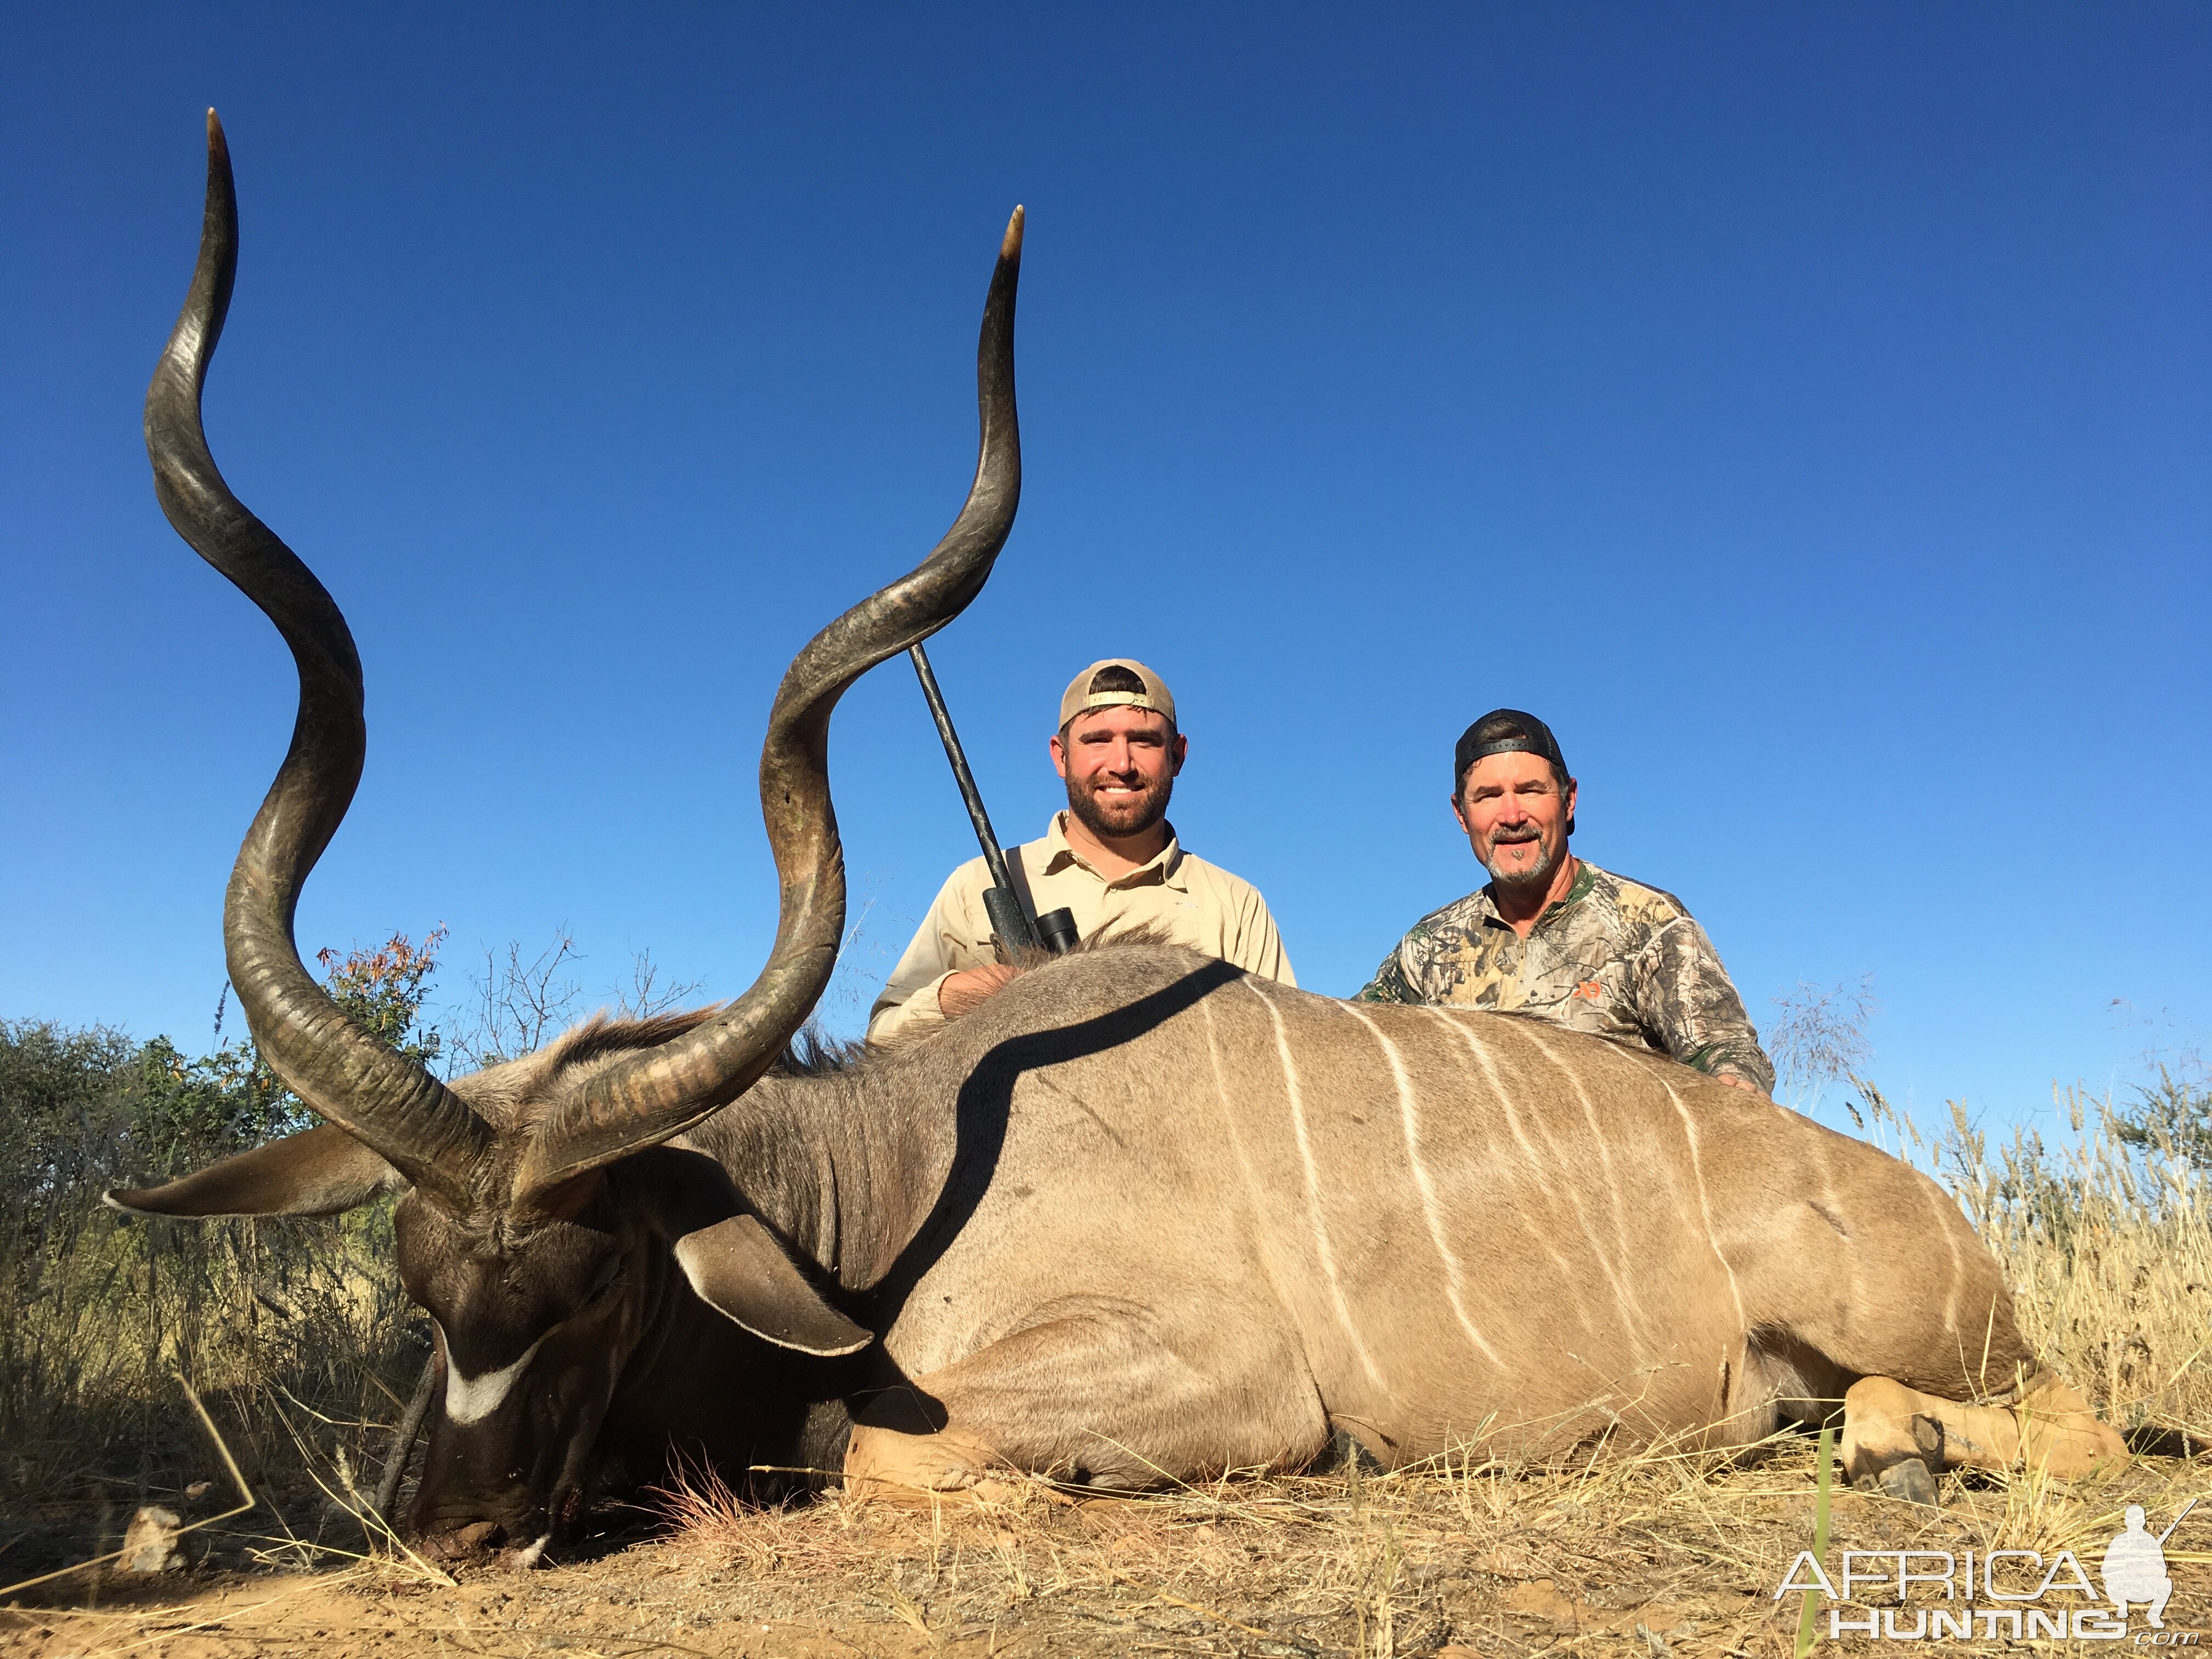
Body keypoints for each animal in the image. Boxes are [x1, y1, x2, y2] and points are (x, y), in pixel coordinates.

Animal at [121, 114, 2123, 1557]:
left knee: (2060, 1421)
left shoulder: (1209, 1383)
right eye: (417, 1285)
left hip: (1917, 1341)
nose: (451, 1530)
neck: (880, 1194)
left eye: (600, 1276)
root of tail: (1937, 1212)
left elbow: (884, 1459)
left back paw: (1904, 1453)